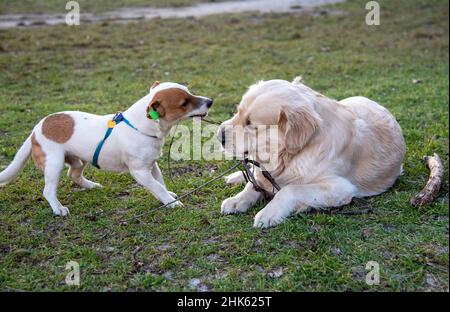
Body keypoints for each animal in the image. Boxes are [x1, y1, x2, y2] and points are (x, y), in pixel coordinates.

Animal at [0, 81, 213, 216]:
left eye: (189, 91)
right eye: (184, 103)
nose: (210, 101)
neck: (141, 127)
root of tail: (36, 129)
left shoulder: (152, 165)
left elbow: (160, 182)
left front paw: (169, 195)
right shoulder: (140, 172)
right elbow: (157, 187)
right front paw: (171, 202)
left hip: (79, 159)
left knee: (74, 174)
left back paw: (91, 186)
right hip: (54, 164)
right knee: (48, 191)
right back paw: (58, 209)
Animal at [216, 77, 406, 228]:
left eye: (250, 123)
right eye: (237, 111)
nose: (219, 136)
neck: (288, 156)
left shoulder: (340, 187)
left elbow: (290, 189)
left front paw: (270, 212)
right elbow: (254, 182)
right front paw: (237, 199)